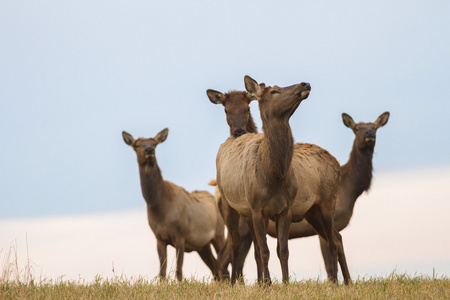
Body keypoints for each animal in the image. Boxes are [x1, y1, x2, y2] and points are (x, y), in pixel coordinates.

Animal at [122, 128, 227, 282]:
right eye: (136, 145)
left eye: (155, 144)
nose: (149, 150)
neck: (160, 207)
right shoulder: (159, 237)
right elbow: (162, 271)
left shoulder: (181, 234)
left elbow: (179, 270)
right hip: (203, 246)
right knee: (214, 267)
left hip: (219, 233)